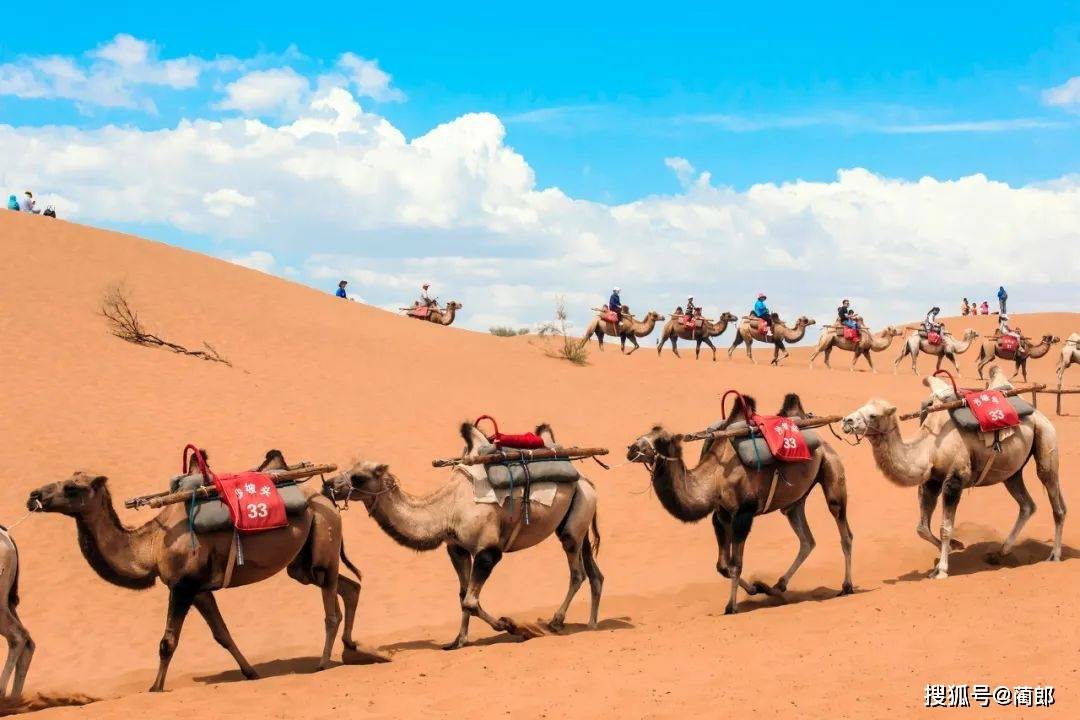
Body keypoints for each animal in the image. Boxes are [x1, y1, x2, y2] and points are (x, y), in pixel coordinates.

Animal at [25, 451, 373, 690]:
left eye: (71, 487)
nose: (34, 496)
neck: (150, 546)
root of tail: (327, 499)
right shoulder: (200, 590)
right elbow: (222, 634)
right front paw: (250, 672)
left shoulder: (182, 586)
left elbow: (167, 641)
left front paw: (155, 688)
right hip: (302, 563)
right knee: (349, 587)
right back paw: (351, 647)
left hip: (324, 540)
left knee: (331, 607)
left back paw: (323, 662)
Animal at [324, 423, 604, 647]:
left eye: (359, 477)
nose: (328, 485)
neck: (447, 509)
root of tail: (586, 480)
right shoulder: (456, 548)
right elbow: (462, 596)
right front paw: (458, 640)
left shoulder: (488, 551)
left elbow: (470, 600)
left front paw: (512, 626)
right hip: (579, 516)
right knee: (594, 573)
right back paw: (591, 624)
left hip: (573, 525)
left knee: (577, 571)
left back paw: (556, 621)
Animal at [626, 395, 851, 613]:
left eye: (662, 439)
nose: (631, 449)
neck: (715, 477)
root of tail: (819, 437)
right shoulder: (721, 515)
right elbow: (723, 566)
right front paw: (755, 588)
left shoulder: (744, 514)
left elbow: (736, 564)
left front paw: (731, 606)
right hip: (794, 501)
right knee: (806, 540)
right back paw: (777, 586)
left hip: (831, 467)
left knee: (842, 526)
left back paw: (846, 587)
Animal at [842, 367, 1062, 578]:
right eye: (862, 407)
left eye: (873, 415)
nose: (846, 421)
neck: (930, 446)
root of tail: (1037, 413)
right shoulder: (932, 480)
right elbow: (921, 528)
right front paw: (955, 547)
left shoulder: (955, 479)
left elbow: (945, 528)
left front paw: (942, 569)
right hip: (1011, 471)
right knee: (1027, 505)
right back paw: (1000, 553)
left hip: (1046, 440)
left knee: (1054, 498)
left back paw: (1054, 555)